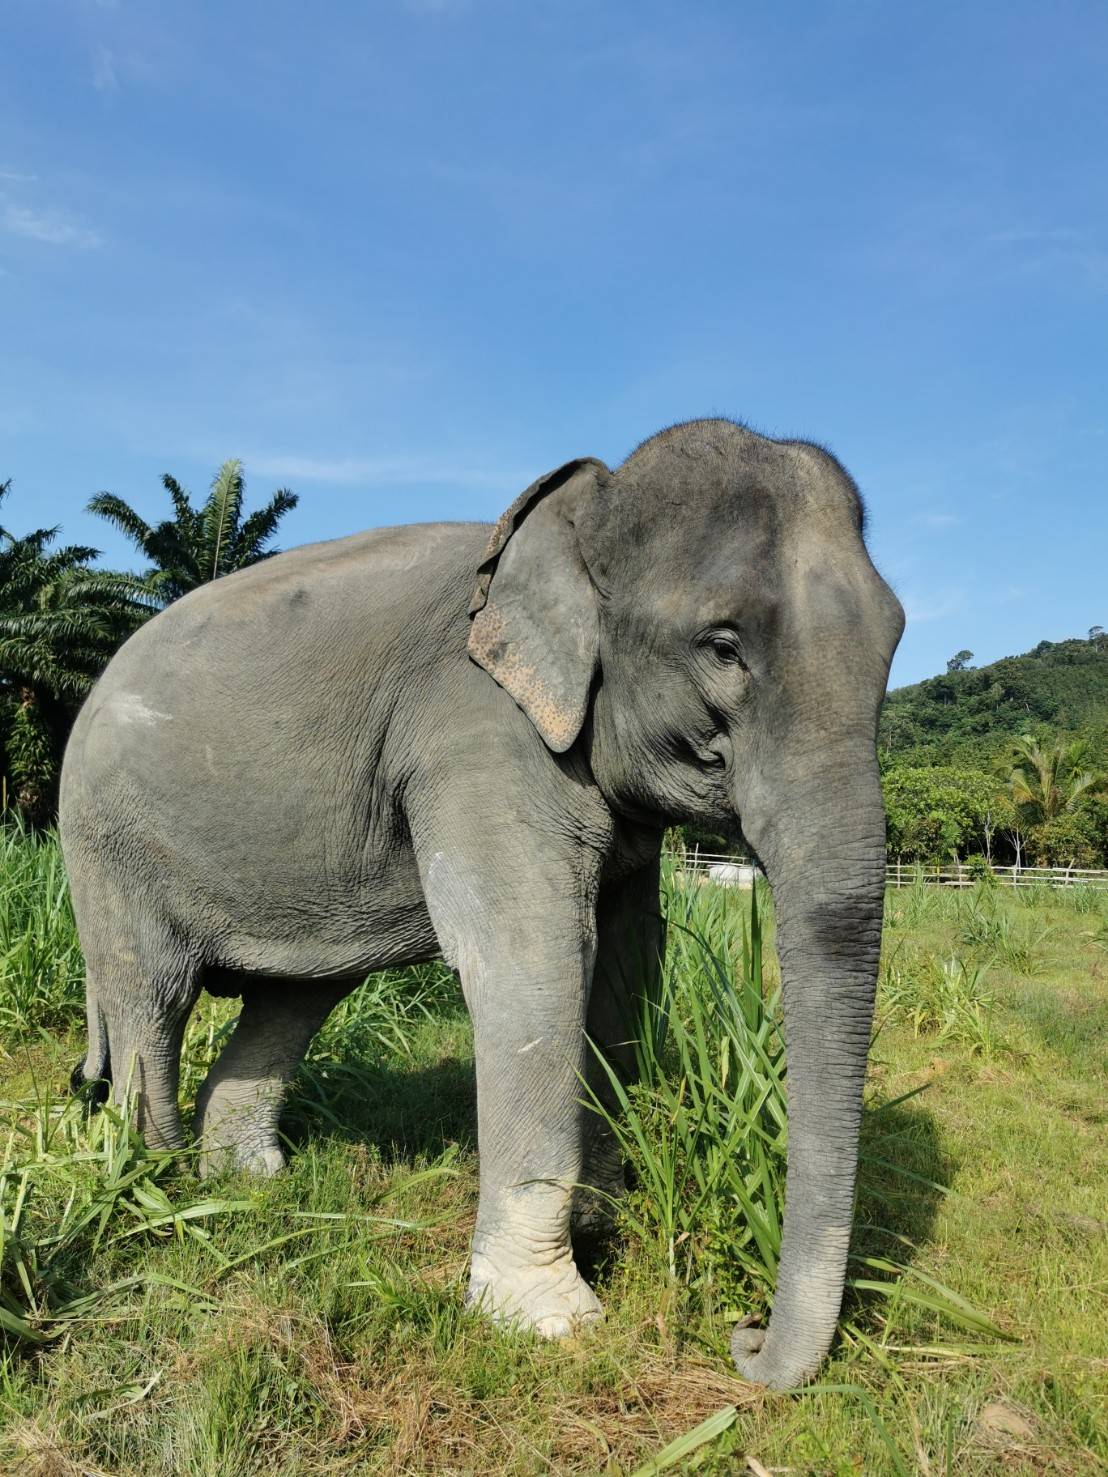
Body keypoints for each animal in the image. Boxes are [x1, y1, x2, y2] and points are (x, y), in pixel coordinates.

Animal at [60, 416, 904, 1382]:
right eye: (722, 647)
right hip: (107, 844)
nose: (746, 1339)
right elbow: (536, 958)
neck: (576, 512)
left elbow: (624, 966)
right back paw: (159, 1191)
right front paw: (549, 1319)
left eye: (894, 643)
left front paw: (601, 1225)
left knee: (293, 996)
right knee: (152, 999)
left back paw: (246, 1181)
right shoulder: (474, 730)